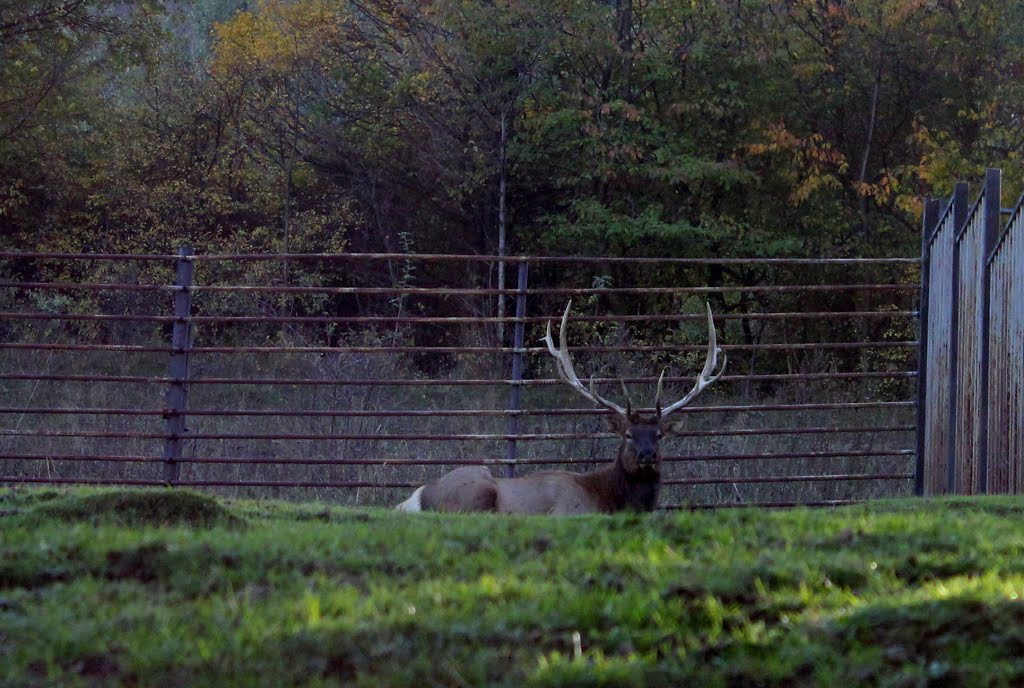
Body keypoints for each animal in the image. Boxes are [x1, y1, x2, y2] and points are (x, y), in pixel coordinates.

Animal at [395, 303, 724, 516]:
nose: (647, 455)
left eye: (658, 435)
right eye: (628, 434)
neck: (609, 500)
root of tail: (414, 500)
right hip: (476, 491)